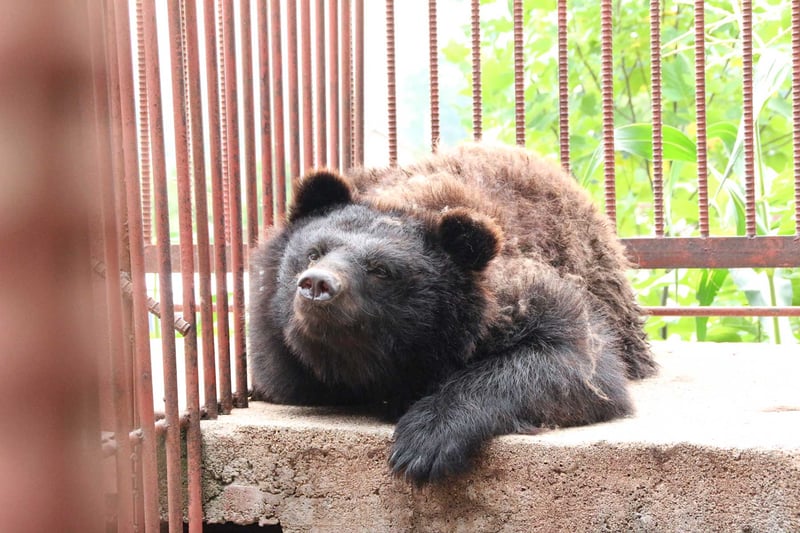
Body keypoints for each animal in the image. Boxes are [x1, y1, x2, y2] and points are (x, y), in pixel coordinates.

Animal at [250, 143, 656, 484]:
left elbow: (574, 360)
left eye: (381, 269)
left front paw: (422, 441)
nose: (317, 285)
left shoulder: (523, 296)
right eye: (314, 252)